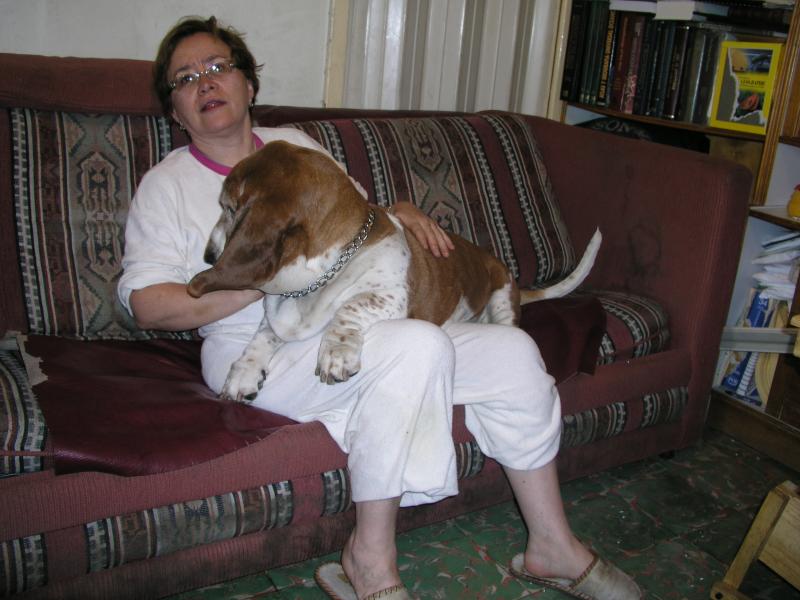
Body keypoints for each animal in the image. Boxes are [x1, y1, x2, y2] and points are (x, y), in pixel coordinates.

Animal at [187, 141, 600, 401]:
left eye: (228, 207)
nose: (208, 255)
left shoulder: (387, 297)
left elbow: (349, 308)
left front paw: (336, 352)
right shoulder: (276, 318)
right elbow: (262, 336)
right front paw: (243, 371)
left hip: (501, 301)